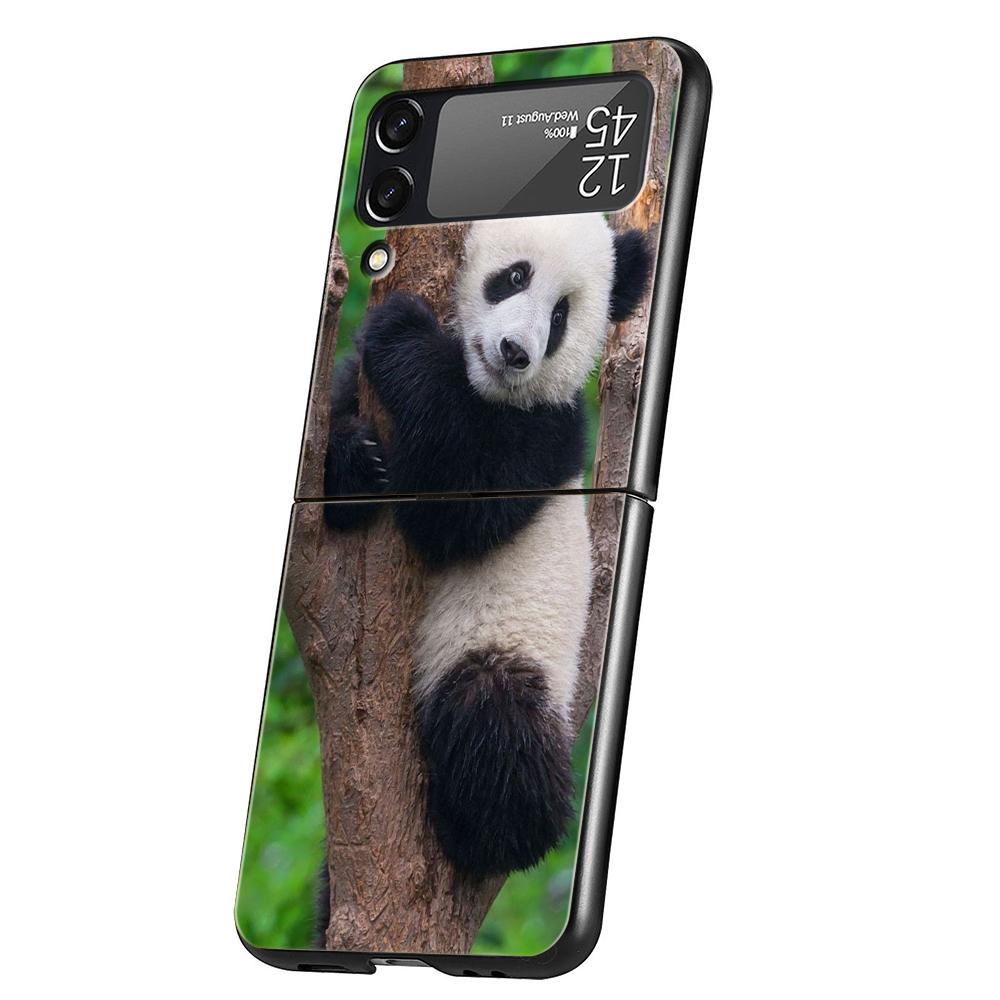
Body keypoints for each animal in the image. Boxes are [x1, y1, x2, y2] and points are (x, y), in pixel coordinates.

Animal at [322, 213, 651, 879]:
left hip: (504, 646)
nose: (515, 353)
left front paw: (404, 333)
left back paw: (490, 835)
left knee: (495, 722)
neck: (481, 387)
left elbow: (455, 510)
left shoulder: (550, 432)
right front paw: (355, 461)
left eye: (561, 315)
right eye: (515, 276)